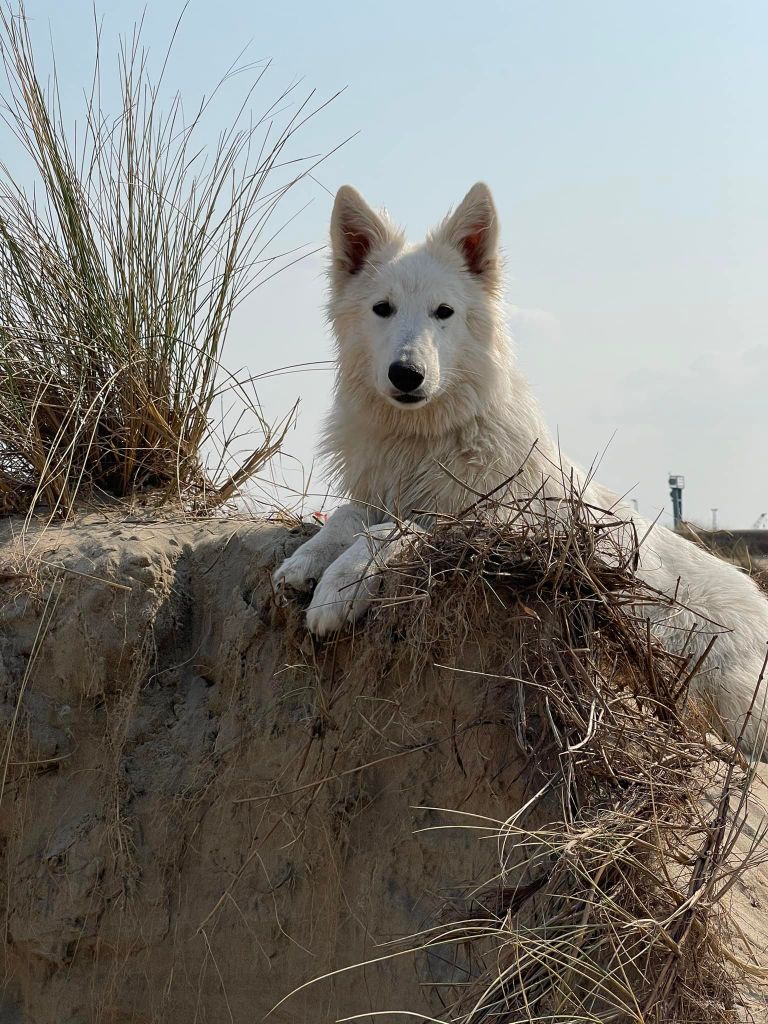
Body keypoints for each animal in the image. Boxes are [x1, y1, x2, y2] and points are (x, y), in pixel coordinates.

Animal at [276, 182, 768, 761]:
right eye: (382, 309)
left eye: (444, 312)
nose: (406, 374)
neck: (428, 437)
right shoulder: (381, 492)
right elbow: (349, 516)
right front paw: (306, 561)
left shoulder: (505, 524)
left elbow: (395, 528)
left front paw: (338, 588)